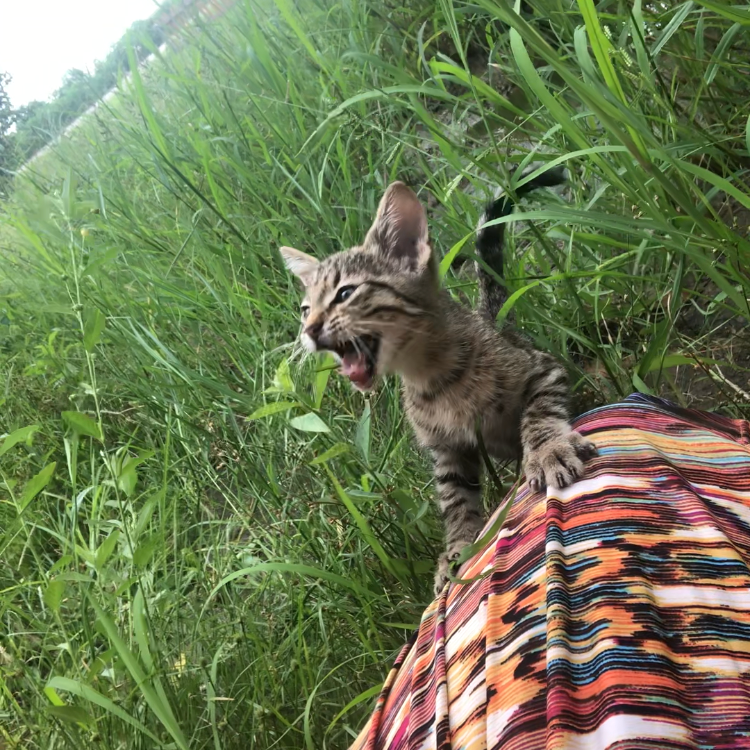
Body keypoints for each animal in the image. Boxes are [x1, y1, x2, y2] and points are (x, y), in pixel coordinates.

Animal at [280, 169, 597, 595]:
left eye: (346, 292)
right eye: (304, 309)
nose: (309, 331)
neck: (429, 374)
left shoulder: (543, 370)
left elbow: (539, 414)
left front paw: (547, 450)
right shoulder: (446, 449)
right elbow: (455, 499)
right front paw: (459, 548)